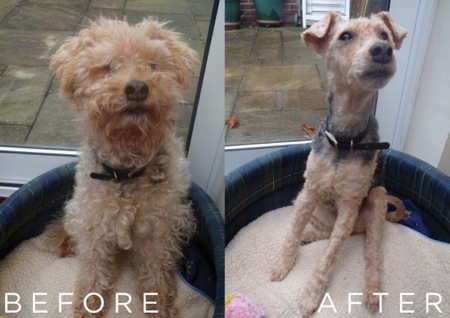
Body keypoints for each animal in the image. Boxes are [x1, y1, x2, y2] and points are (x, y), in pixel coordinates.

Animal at [44, 18, 198, 316]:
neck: (126, 171)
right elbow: (93, 274)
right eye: (107, 66)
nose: (137, 88)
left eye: (152, 65)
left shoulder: (158, 233)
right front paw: (87, 308)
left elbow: (156, 276)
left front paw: (159, 308)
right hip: (77, 211)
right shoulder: (95, 229)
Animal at [270, 11, 408, 316]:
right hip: (316, 207)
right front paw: (282, 265)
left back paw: (372, 293)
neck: (345, 139)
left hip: (375, 202)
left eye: (384, 35)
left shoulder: (349, 205)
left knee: (369, 252)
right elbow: (291, 233)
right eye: (345, 36)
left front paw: (310, 297)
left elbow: (329, 257)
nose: (383, 50)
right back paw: (309, 235)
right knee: (323, 231)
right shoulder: (308, 192)